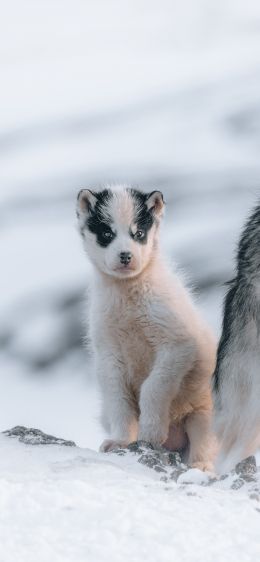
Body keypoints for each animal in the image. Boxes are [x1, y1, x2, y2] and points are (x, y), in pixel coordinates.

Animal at [77, 184, 217, 468]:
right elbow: (119, 399)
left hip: (202, 416)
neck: (128, 299)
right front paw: (120, 441)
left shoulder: (177, 344)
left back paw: (199, 467)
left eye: (139, 233)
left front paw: (151, 434)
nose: (125, 256)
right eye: (106, 233)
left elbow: (153, 387)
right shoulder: (108, 352)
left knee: (203, 449)